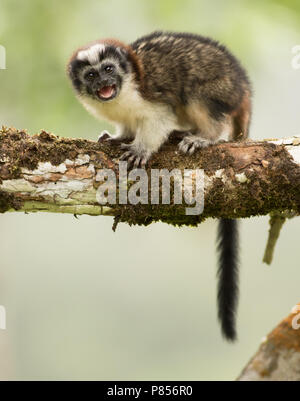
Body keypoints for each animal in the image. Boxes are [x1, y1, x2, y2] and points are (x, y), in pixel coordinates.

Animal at [67, 31, 251, 340]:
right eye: (91, 75)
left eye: (108, 69)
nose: (103, 84)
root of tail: (244, 86)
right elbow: (127, 127)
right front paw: (119, 137)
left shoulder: (148, 96)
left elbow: (159, 118)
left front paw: (140, 149)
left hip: (221, 90)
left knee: (196, 95)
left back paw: (205, 136)